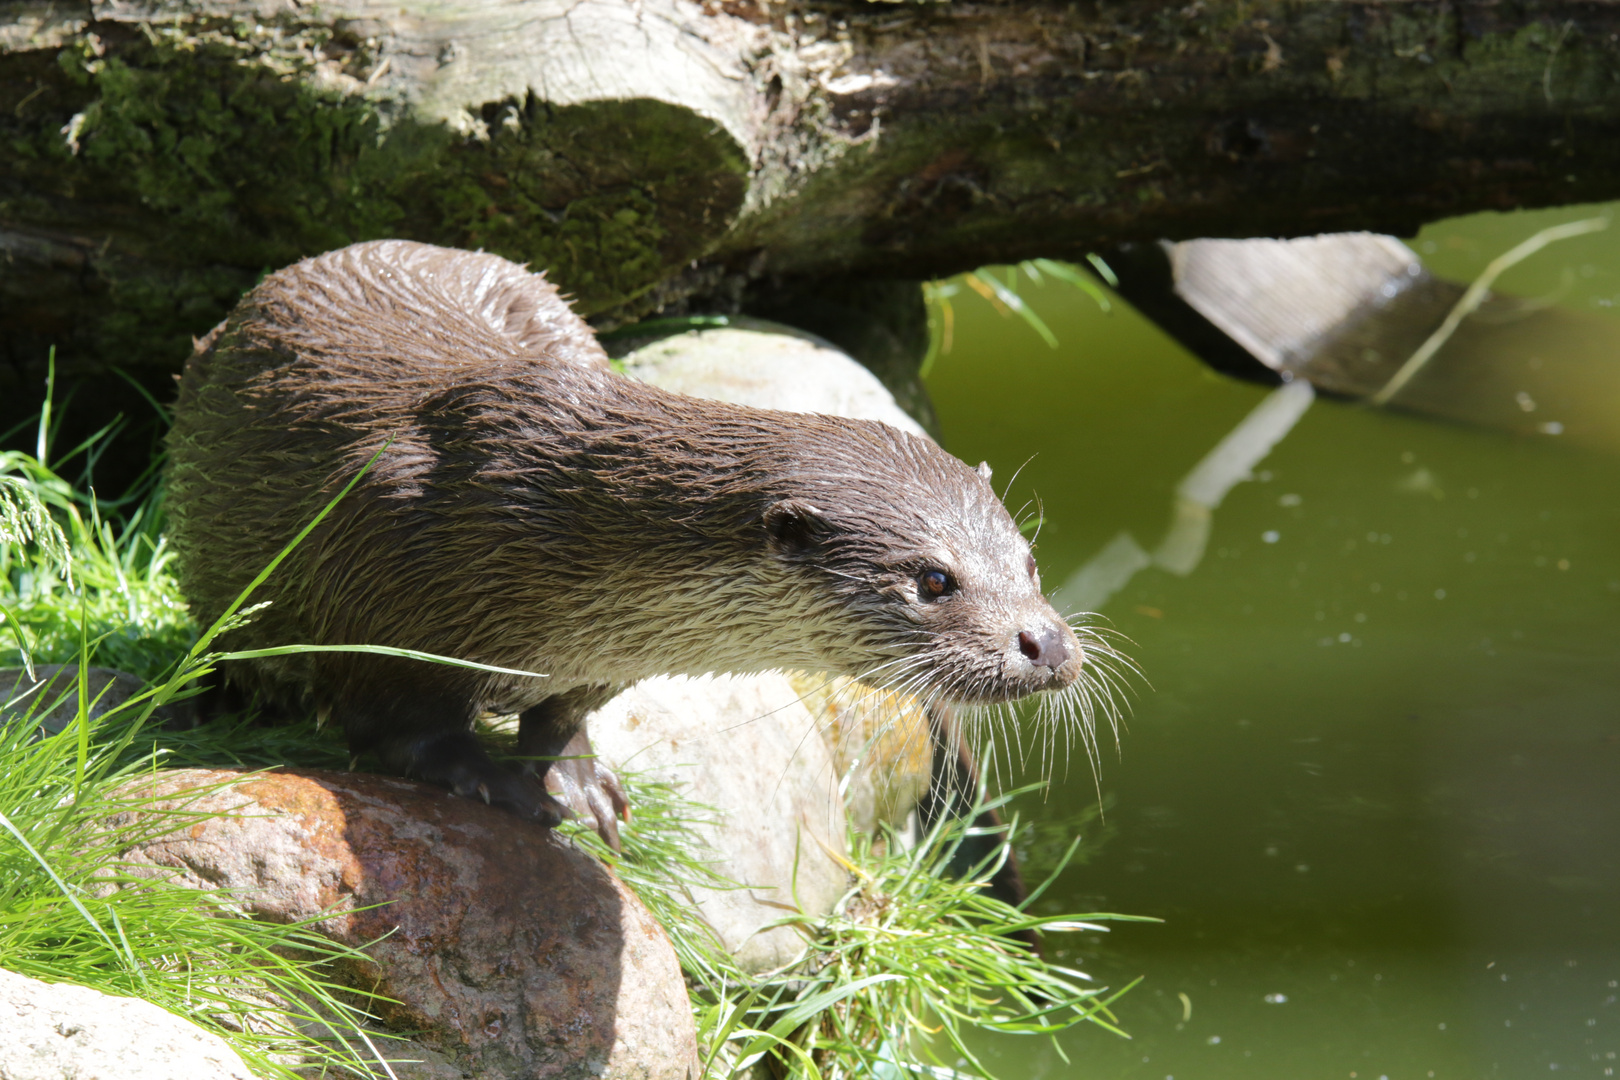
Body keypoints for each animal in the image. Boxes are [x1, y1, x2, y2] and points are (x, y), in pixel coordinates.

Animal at [164, 241, 1082, 848]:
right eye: (934, 579)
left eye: (1030, 562)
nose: (1048, 642)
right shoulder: (380, 594)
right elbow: (401, 733)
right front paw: (493, 779)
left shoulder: (601, 662)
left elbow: (561, 716)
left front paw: (576, 779)